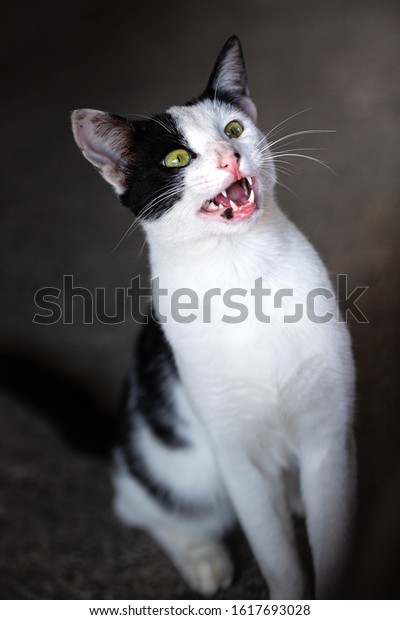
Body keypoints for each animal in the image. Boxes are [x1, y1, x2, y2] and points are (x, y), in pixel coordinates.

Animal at [72, 35, 356, 600]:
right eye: (178, 157)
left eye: (233, 129)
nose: (231, 158)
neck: (242, 274)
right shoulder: (235, 456)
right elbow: (277, 558)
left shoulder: (328, 435)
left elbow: (331, 540)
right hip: (179, 466)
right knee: (139, 502)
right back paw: (202, 557)